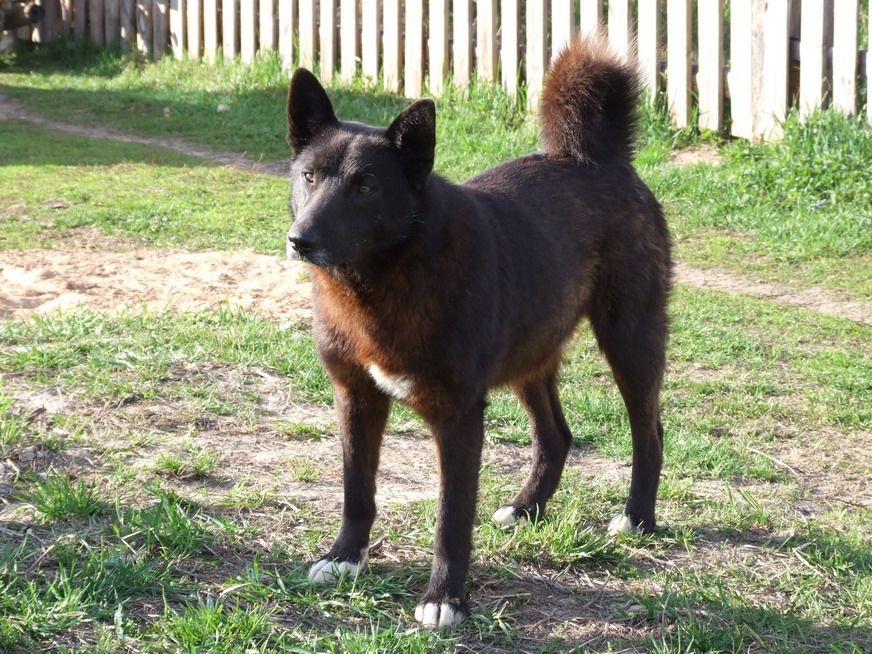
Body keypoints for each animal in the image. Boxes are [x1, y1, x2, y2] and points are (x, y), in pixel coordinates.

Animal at [285, 34, 671, 628]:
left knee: (648, 434)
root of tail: (595, 157)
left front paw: (445, 598)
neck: (389, 274)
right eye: (309, 176)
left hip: (629, 340)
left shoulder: (458, 416)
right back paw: (527, 508)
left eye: (366, 186)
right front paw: (344, 558)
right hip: (530, 356)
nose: (300, 240)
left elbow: (451, 517)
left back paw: (636, 519)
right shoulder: (355, 397)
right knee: (556, 436)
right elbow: (357, 490)